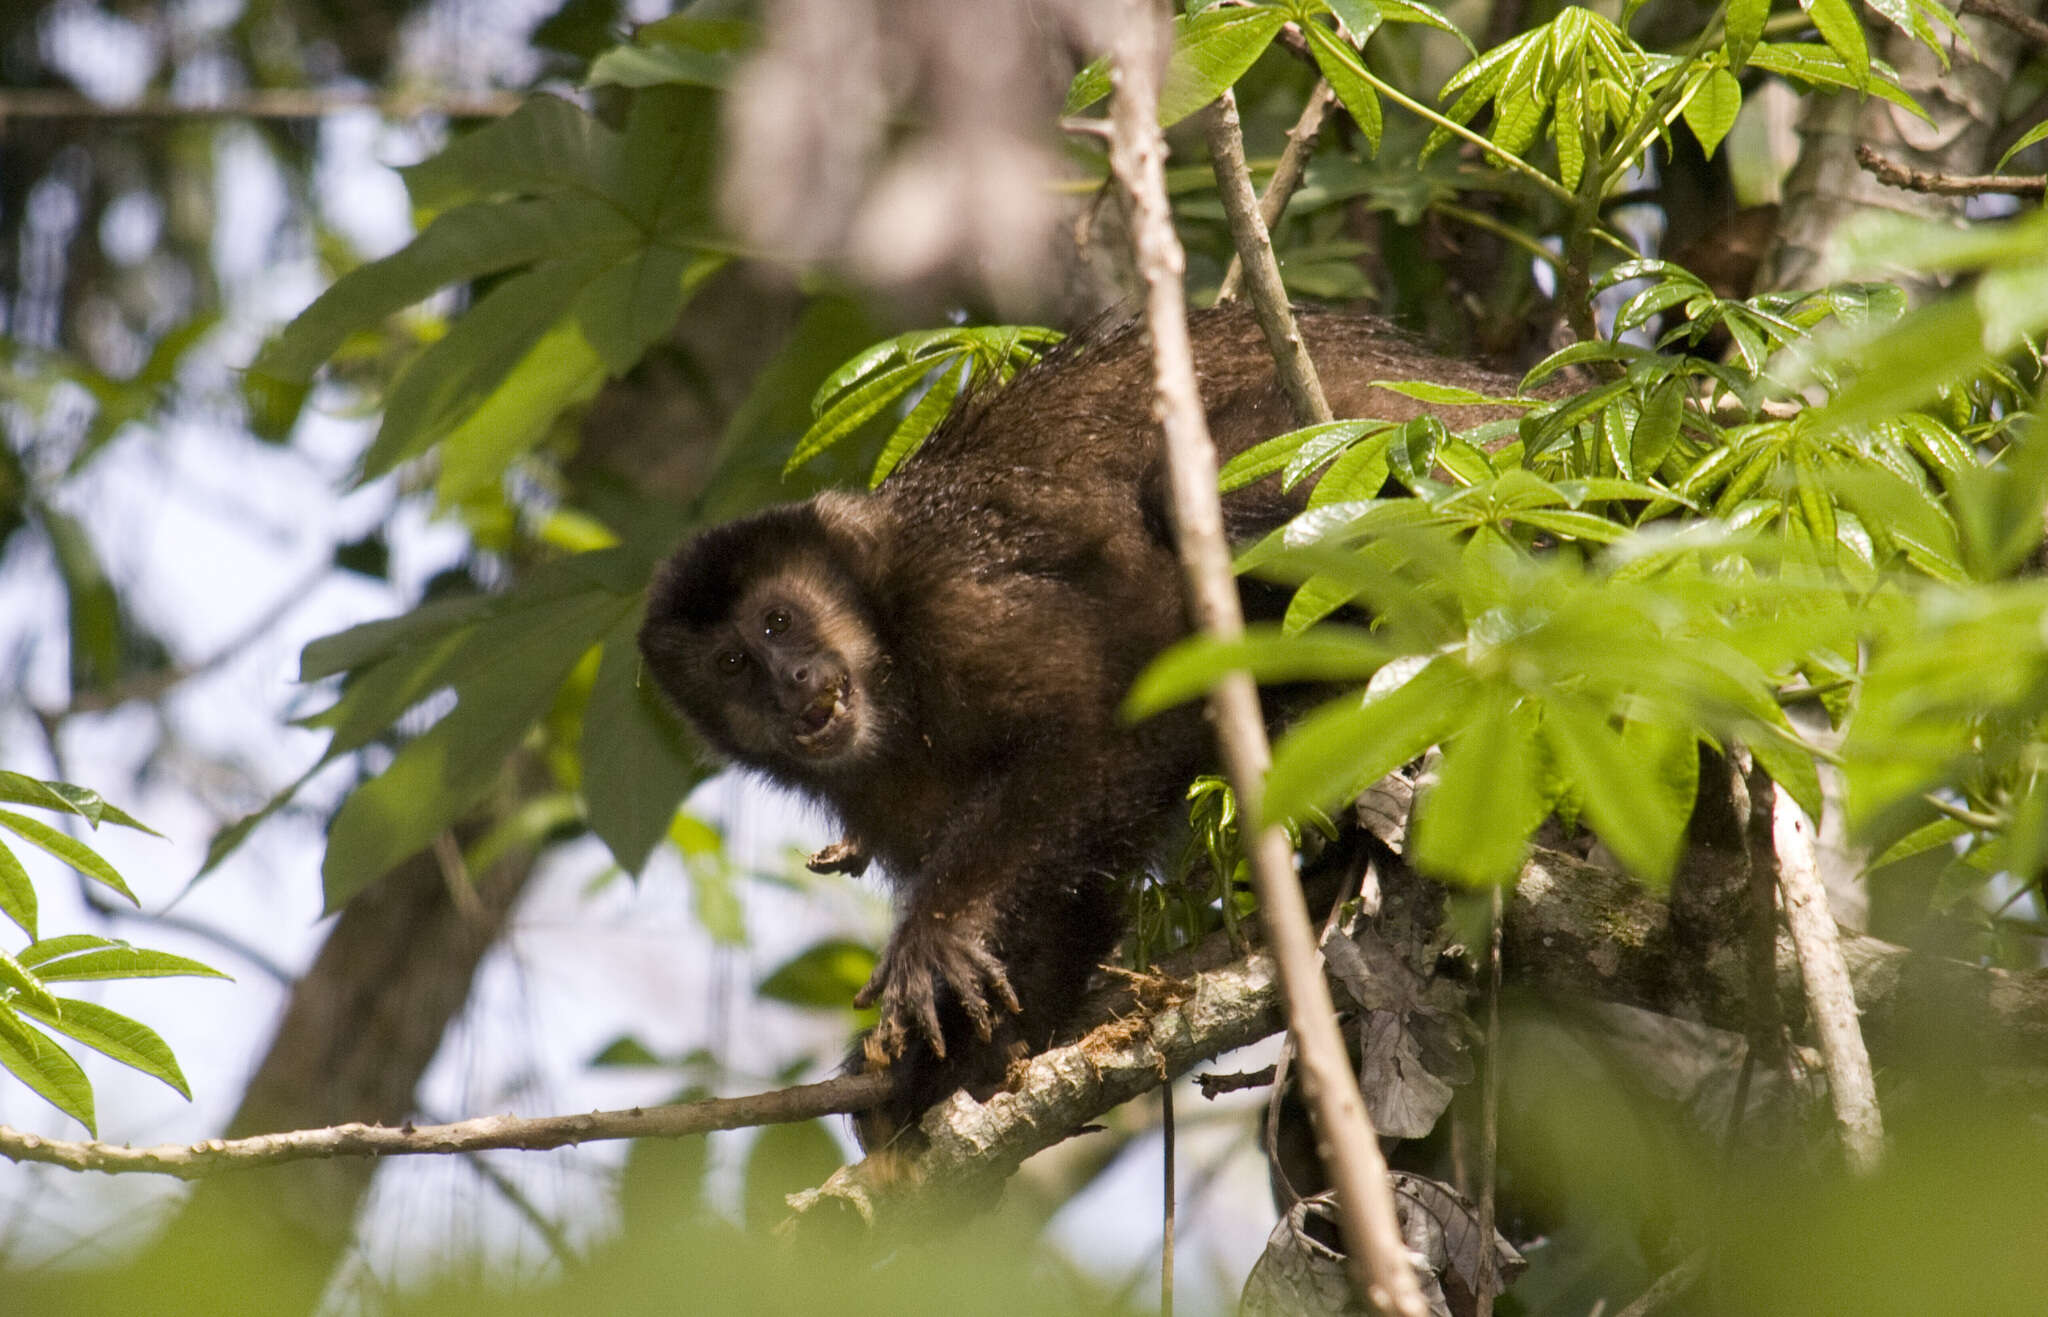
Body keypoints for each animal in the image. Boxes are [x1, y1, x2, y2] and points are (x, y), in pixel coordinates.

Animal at [643, 303, 1540, 1163]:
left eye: (779, 621)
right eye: (732, 664)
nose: (789, 681)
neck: (892, 669)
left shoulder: (956, 593)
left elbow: (1093, 724)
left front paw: (940, 931)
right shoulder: (867, 785)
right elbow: (1059, 903)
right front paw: (945, 1073)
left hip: (1411, 448)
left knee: (1197, 496)